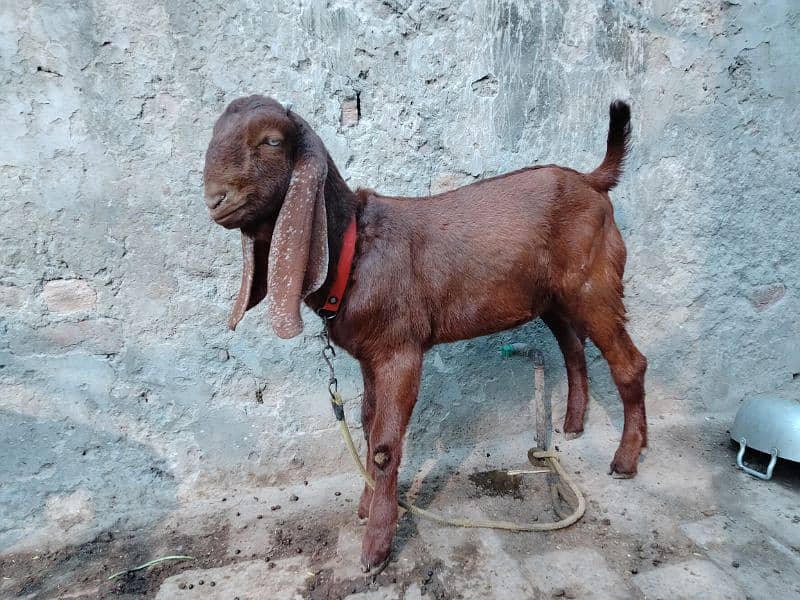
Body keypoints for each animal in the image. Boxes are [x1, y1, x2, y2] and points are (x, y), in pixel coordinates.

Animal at [203, 96, 648, 568]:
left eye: (271, 141)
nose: (215, 200)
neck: (355, 246)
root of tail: (591, 180)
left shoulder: (401, 349)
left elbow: (384, 444)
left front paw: (376, 548)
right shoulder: (371, 355)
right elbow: (367, 425)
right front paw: (366, 507)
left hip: (593, 282)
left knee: (629, 363)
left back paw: (626, 458)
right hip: (554, 298)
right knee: (573, 347)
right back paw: (573, 425)